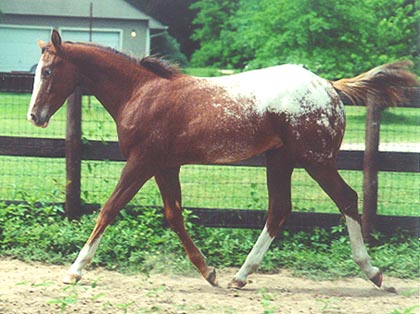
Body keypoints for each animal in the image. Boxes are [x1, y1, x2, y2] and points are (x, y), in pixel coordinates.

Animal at [27, 30, 418, 288]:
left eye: (48, 71)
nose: (34, 116)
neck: (141, 93)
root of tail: (330, 87)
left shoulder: (141, 162)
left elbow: (109, 209)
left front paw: (74, 270)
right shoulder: (165, 166)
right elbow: (174, 215)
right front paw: (209, 272)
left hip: (316, 160)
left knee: (346, 199)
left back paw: (374, 273)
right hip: (280, 161)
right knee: (280, 210)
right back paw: (240, 276)